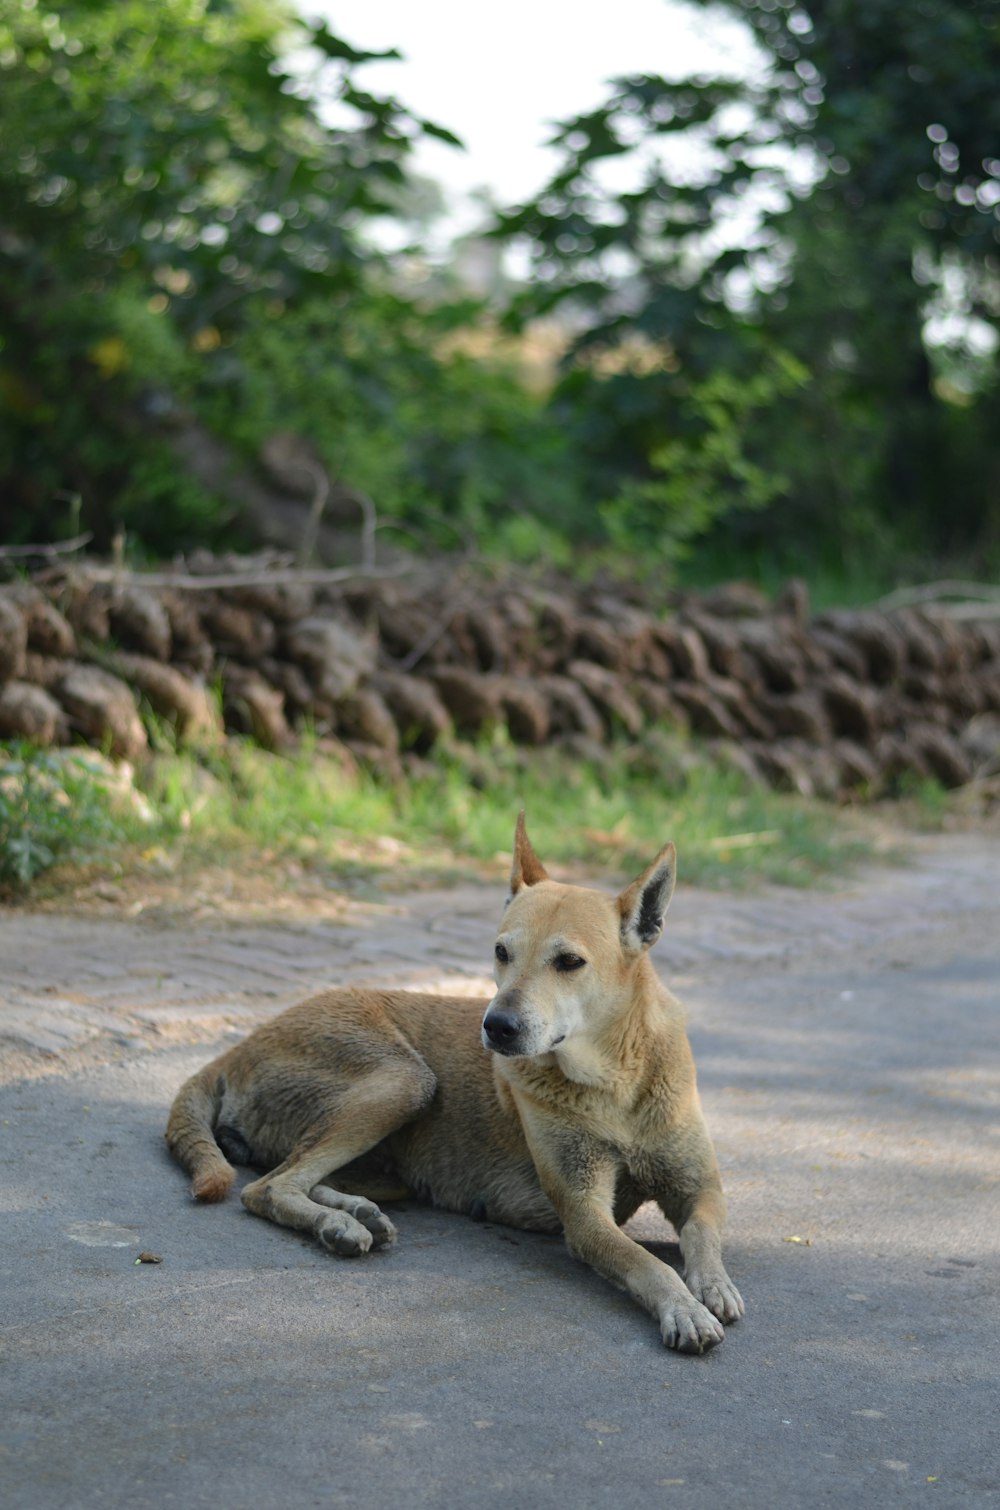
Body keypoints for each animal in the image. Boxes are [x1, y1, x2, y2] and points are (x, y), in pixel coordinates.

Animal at [166, 815, 743, 1359]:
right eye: (501, 952)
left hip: (392, 1149)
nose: (497, 1027)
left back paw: (354, 1211)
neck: (615, 1079)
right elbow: (647, 1262)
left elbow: (702, 1233)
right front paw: (682, 1308)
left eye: (570, 962)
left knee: (300, 1176)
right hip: (404, 1081)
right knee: (268, 1187)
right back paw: (337, 1225)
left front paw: (712, 1285)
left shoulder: (699, 1188)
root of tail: (241, 1045)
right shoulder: (584, 1214)